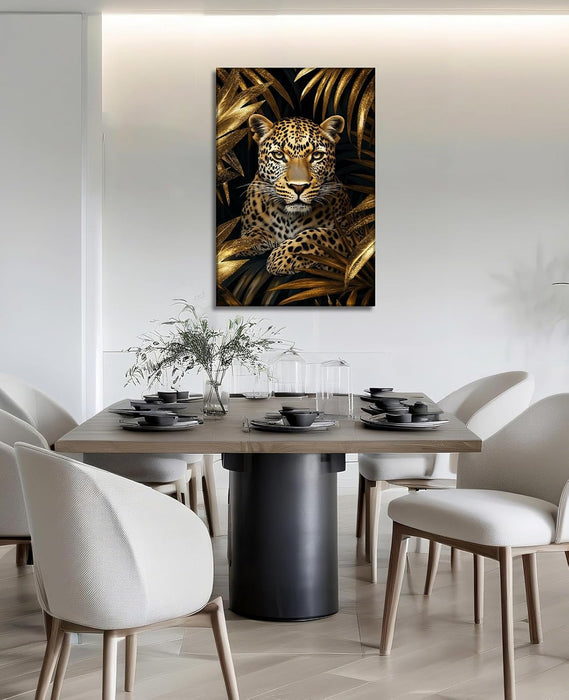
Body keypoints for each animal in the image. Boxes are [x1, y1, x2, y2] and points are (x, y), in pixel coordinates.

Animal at [238, 114, 352, 276]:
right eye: (278, 155)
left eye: (317, 155)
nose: (298, 187)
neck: (289, 218)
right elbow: (251, 232)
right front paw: (244, 244)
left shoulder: (353, 234)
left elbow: (318, 235)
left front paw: (282, 256)